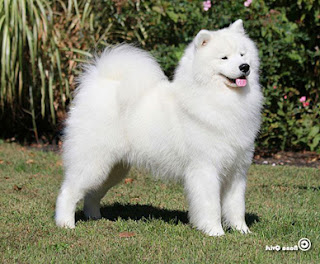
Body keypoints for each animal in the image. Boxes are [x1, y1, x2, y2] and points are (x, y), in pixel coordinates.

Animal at [56, 19, 264, 236]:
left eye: (242, 54)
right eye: (224, 57)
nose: (244, 67)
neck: (220, 98)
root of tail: (99, 82)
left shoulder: (236, 171)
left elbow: (236, 205)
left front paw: (243, 231)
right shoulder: (206, 168)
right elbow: (211, 205)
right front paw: (215, 232)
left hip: (113, 168)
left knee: (92, 194)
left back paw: (94, 217)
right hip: (93, 161)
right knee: (68, 191)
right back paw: (65, 223)